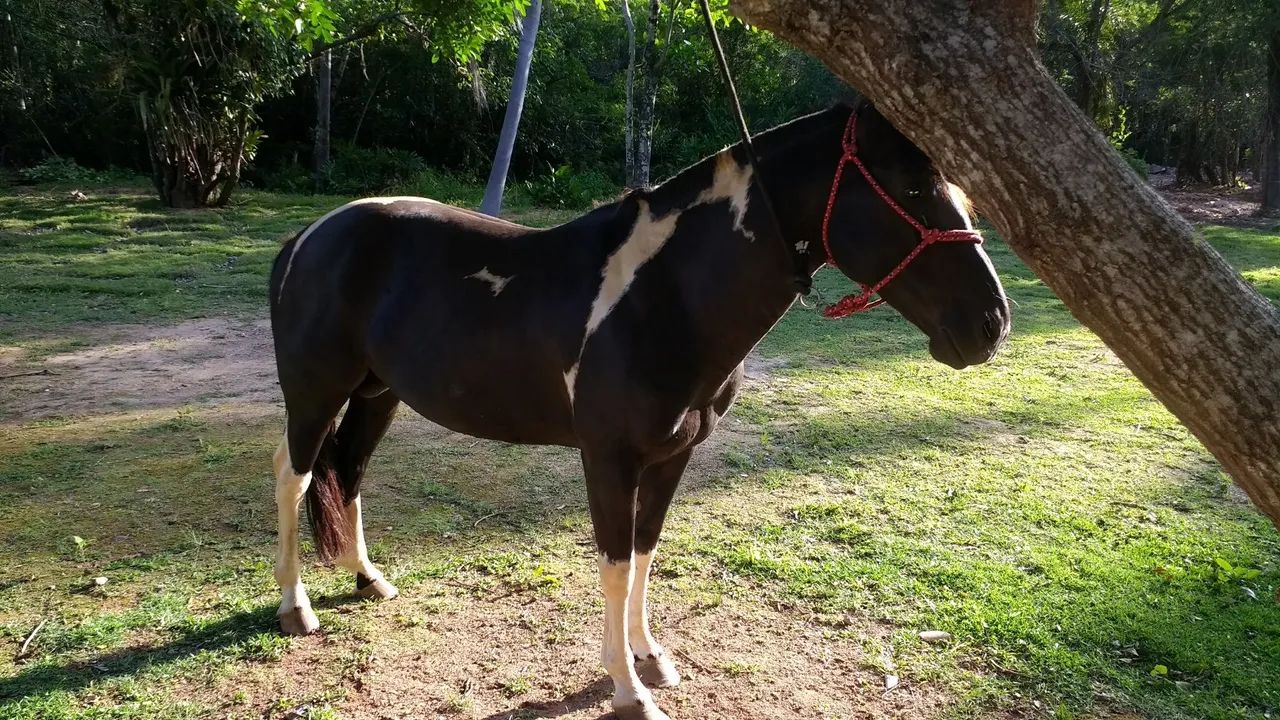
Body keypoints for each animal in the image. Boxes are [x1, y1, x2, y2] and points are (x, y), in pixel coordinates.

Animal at [268, 100, 1009, 720]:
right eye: (911, 187)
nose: (991, 323)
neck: (665, 296)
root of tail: (308, 236)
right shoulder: (609, 460)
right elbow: (616, 566)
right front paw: (627, 690)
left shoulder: (671, 456)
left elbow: (646, 555)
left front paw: (653, 658)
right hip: (315, 393)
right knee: (294, 475)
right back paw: (296, 608)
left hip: (378, 395)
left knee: (349, 472)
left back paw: (368, 580)